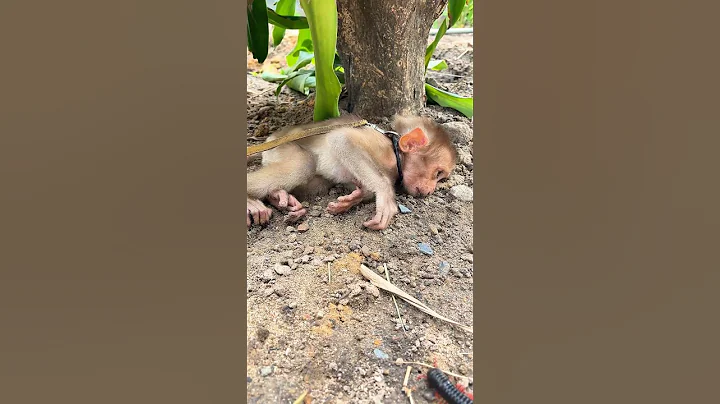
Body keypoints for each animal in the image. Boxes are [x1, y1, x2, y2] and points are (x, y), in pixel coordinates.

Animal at [246, 114, 457, 231]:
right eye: (438, 173)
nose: (431, 190)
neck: (397, 155)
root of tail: (273, 137)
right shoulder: (383, 151)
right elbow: (342, 140)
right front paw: (385, 195)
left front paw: (351, 200)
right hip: (281, 148)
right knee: (303, 164)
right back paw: (252, 202)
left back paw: (278, 197)